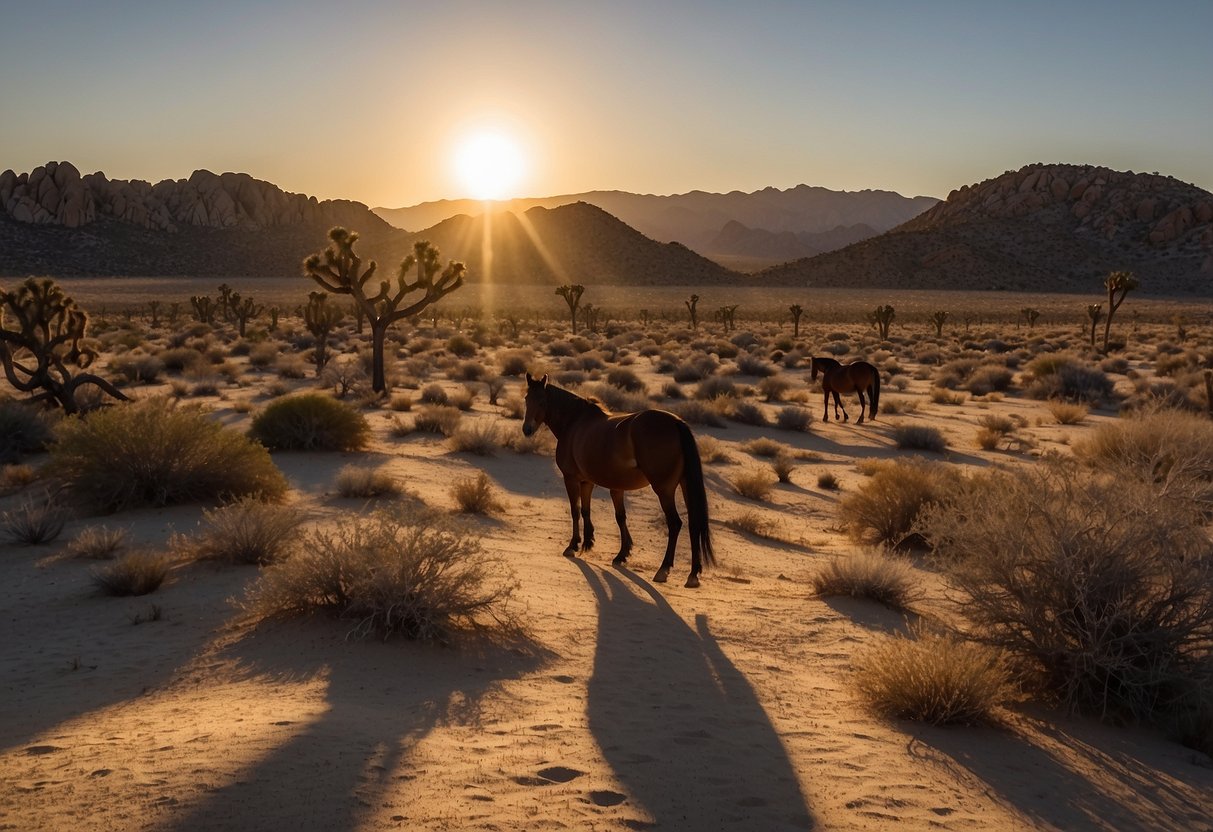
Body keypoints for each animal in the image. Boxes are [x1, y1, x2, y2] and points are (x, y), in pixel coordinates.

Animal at [519, 375, 708, 589]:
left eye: (542, 402)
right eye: (526, 399)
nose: (527, 429)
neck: (574, 422)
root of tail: (676, 422)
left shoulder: (571, 479)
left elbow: (575, 510)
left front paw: (573, 545)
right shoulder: (591, 483)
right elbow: (605, 514)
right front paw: (608, 549)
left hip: (664, 490)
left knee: (675, 523)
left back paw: (663, 569)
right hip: (685, 486)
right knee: (694, 523)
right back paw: (693, 574)